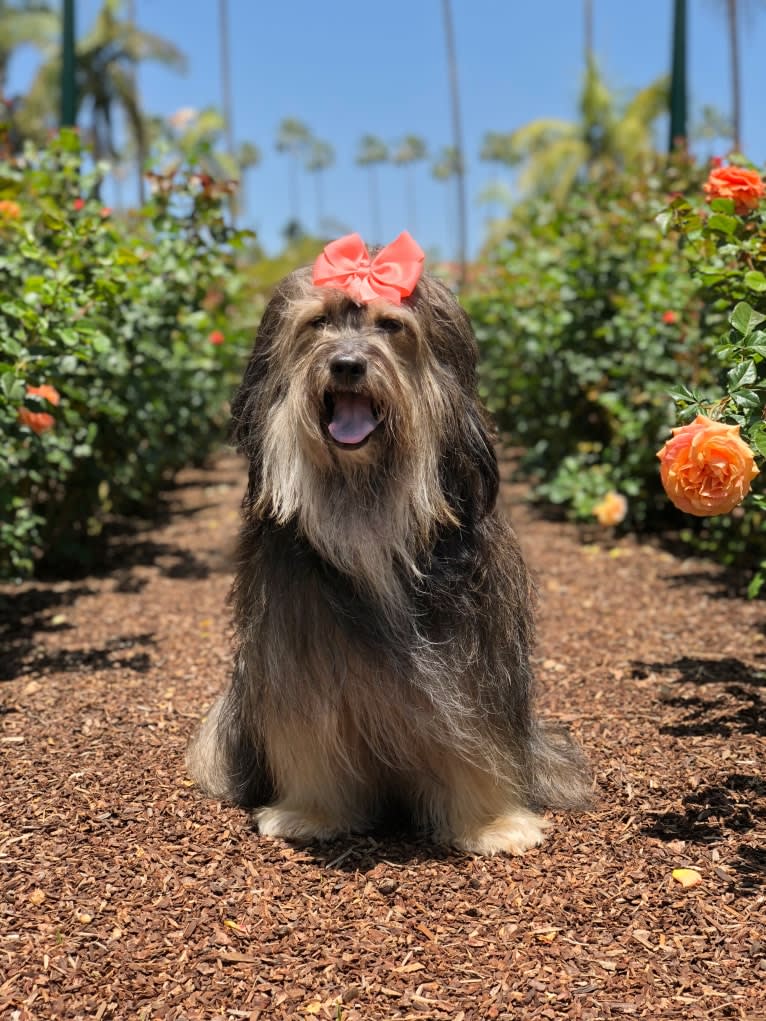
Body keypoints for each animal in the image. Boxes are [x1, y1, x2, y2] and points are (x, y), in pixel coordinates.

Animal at [187, 231, 592, 853]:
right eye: (319, 323)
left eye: (391, 325)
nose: (347, 364)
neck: (368, 516)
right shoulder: (295, 655)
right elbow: (307, 734)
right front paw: (311, 814)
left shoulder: (472, 662)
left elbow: (478, 743)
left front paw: (492, 824)